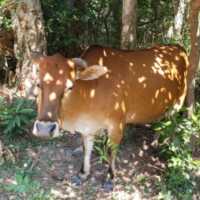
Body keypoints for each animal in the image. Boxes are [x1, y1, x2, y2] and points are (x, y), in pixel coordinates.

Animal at [31, 44, 189, 187]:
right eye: (38, 84)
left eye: (70, 87)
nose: (44, 129)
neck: (90, 92)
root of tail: (178, 47)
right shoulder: (87, 128)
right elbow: (86, 149)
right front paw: (83, 173)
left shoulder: (116, 124)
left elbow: (111, 151)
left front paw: (110, 177)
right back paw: (155, 143)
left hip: (178, 103)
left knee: (170, 124)